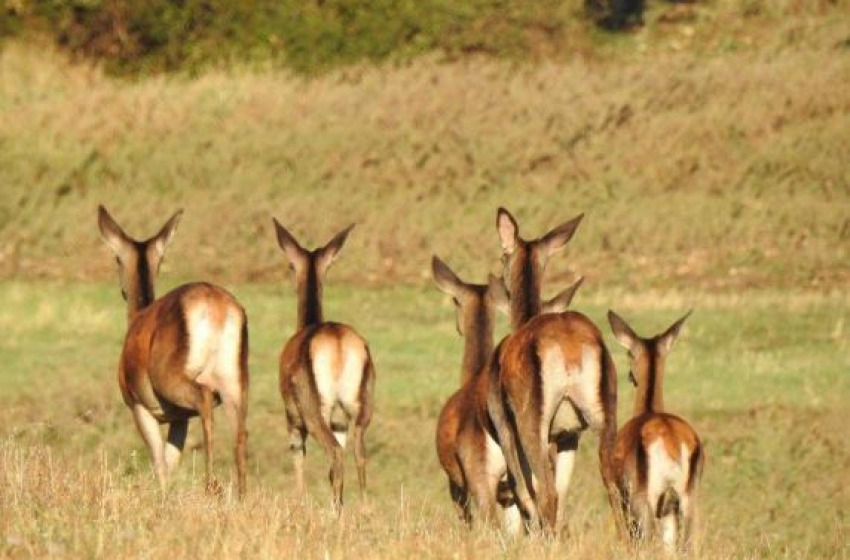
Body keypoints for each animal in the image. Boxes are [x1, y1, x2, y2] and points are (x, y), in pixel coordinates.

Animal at [97, 206, 248, 498]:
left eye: (117, 258)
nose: (121, 290)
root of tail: (217, 308)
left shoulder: (139, 405)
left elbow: (160, 461)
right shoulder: (180, 418)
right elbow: (170, 460)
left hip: (170, 378)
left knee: (205, 397)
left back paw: (211, 485)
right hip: (235, 380)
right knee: (241, 431)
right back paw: (241, 495)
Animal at [274, 219, 374, 512]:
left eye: (290, 265)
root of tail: (338, 343)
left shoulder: (291, 415)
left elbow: (297, 452)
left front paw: (299, 504)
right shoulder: (339, 421)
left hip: (313, 407)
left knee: (336, 453)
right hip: (362, 405)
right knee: (358, 453)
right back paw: (363, 510)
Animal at [484, 207, 616, 532]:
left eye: (502, 257)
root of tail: (570, 347)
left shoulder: (504, 425)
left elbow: (524, 490)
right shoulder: (569, 434)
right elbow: (563, 491)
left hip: (531, 420)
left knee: (544, 492)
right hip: (605, 411)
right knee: (615, 486)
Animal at [608, 312, 704, 552]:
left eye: (629, 355)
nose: (630, 376)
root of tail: (672, 445)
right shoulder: (670, 507)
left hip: (644, 499)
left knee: (648, 540)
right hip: (688, 498)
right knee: (686, 544)